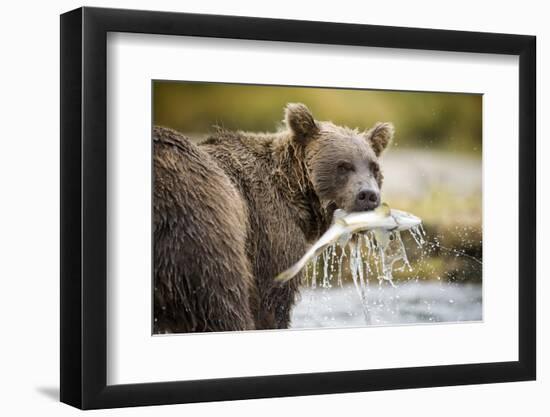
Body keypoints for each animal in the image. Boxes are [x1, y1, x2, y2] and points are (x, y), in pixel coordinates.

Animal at [153, 103, 394, 332]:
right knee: (221, 304)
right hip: (200, 224)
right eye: (343, 166)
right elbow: (271, 302)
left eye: (374, 168)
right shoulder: (269, 232)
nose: (368, 195)